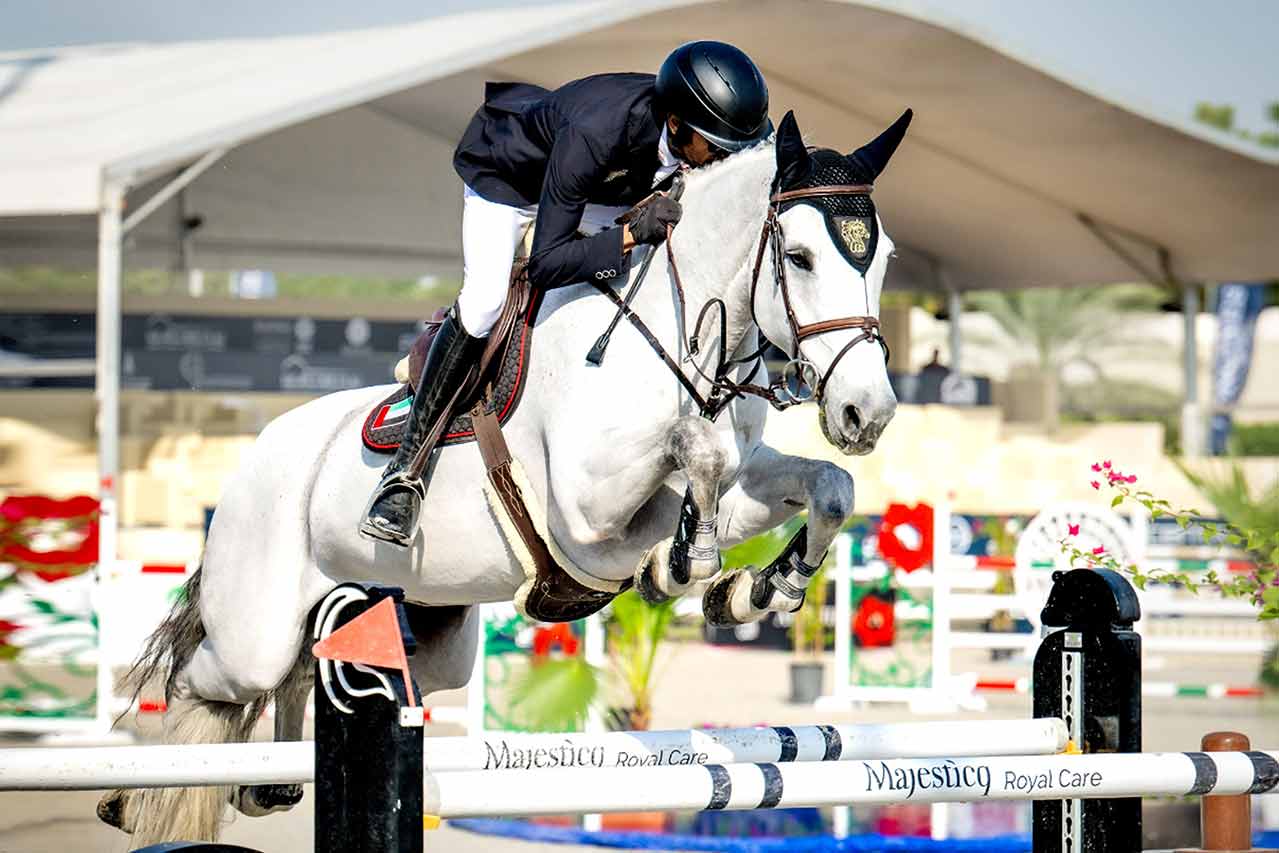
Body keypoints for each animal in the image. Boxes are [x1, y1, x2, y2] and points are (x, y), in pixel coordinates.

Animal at [103, 108, 911, 844]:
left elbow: (824, 487)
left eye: (884, 261)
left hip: (425, 638)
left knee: (308, 666)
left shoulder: (743, 477)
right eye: (800, 257)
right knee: (199, 682)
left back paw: (261, 784)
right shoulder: (584, 520)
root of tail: (254, 458)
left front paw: (758, 588)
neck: (681, 330)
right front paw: (683, 564)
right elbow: (692, 463)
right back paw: (135, 796)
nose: (865, 413)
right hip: (253, 632)